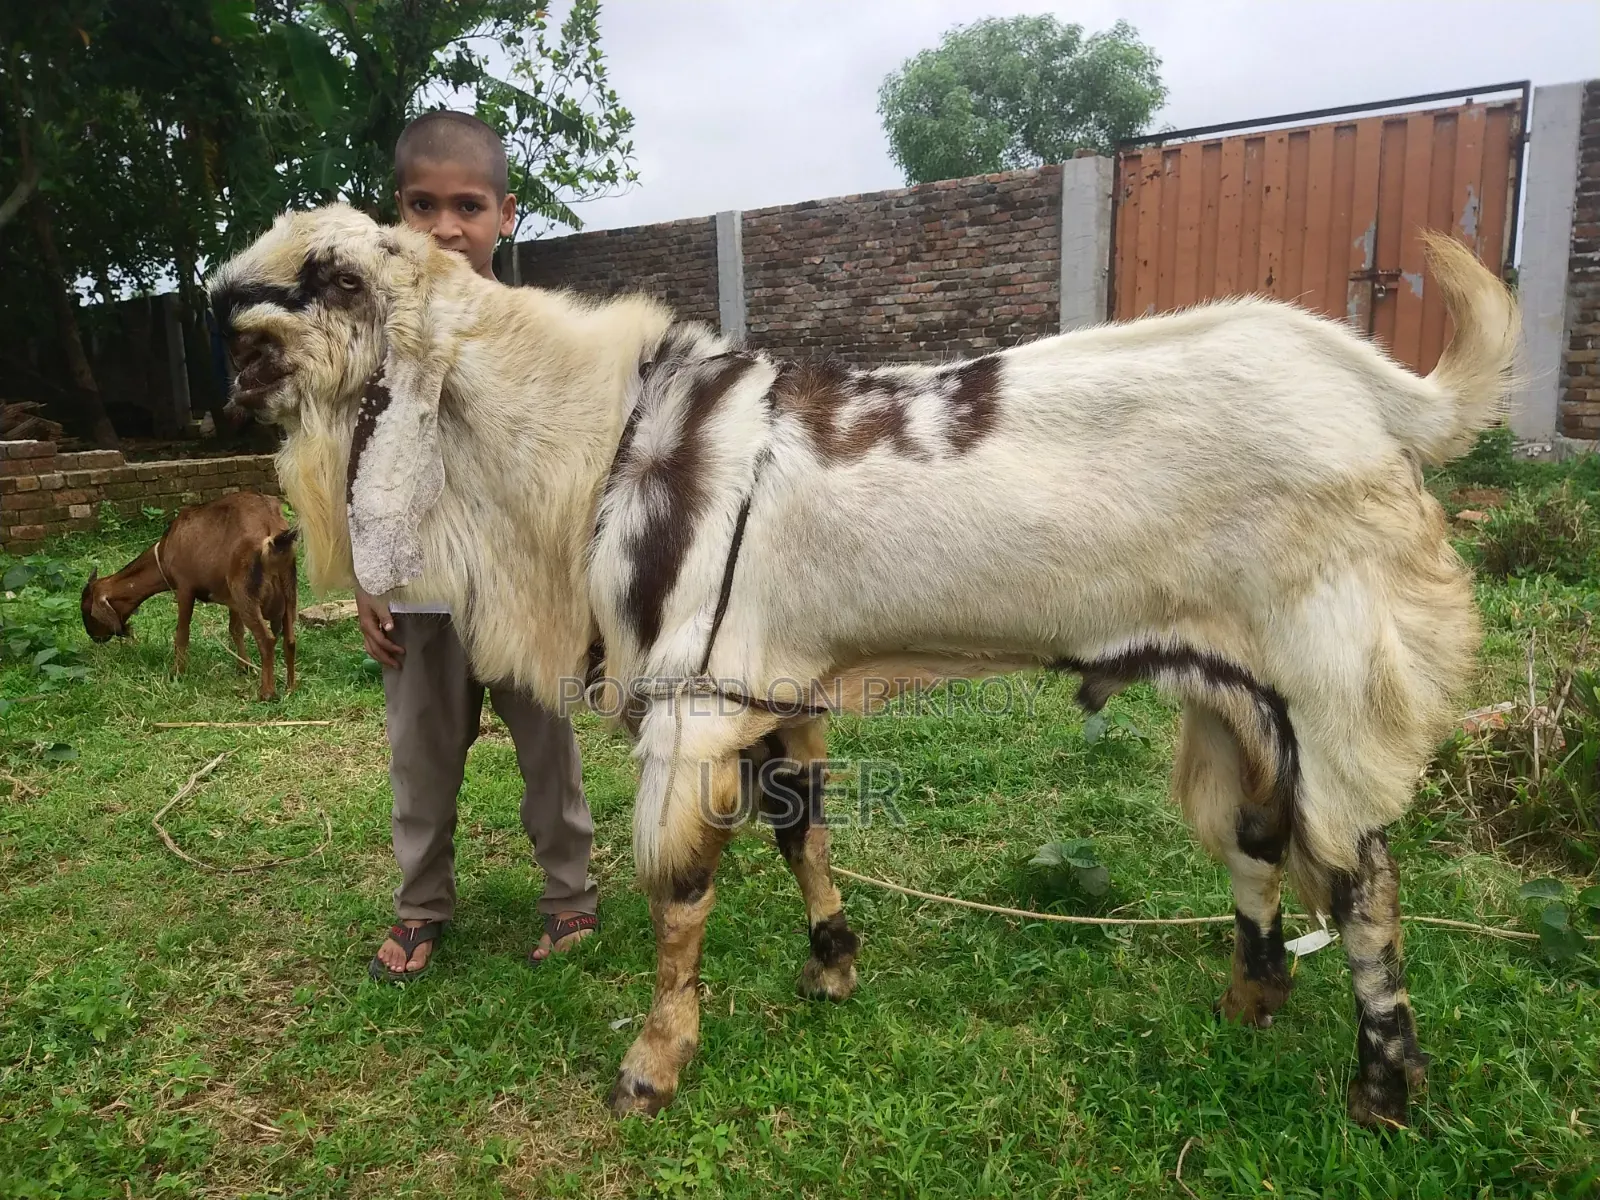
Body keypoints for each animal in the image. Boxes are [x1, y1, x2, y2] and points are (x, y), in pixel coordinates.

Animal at [83, 491, 300, 700]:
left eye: (86, 609)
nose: (93, 637)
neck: (165, 550)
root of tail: (270, 526)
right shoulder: (232, 600)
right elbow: (235, 630)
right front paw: (244, 667)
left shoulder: (185, 588)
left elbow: (182, 634)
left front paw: (177, 672)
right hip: (287, 587)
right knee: (290, 639)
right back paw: (290, 688)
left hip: (245, 591)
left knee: (266, 639)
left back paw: (267, 693)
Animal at [209, 203, 1518, 1129]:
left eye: (333, 276)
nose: (228, 346)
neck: (596, 443)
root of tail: (1375, 395)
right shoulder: (771, 683)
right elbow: (802, 830)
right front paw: (832, 968)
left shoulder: (692, 700)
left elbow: (680, 886)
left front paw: (654, 1063)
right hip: (1232, 691)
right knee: (1254, 839)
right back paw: (1250, 1001)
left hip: (1333, 681)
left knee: (1358, 880)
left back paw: (1381, 1090)